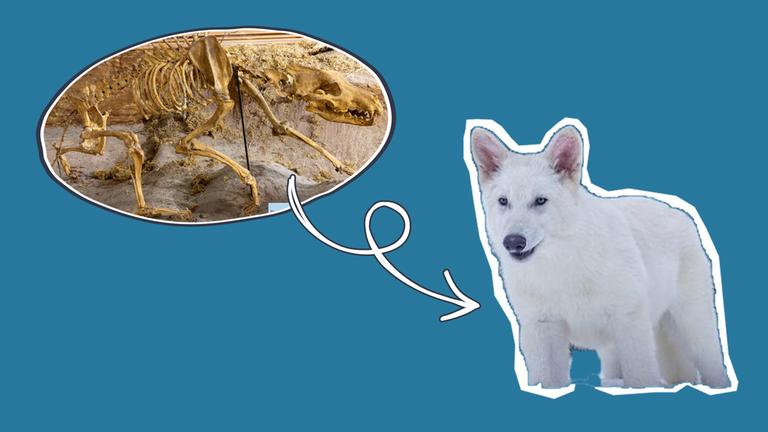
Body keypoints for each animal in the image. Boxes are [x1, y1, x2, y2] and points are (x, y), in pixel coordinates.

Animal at [470, 123, 732, 389]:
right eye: (504, 201)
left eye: (540, 200)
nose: (513, 242)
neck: (561, 269)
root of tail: (681, 212)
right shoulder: (543, 328)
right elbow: (548, 381)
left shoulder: (629, 319)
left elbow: (641, 377)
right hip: (616, 349)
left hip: (693, 328)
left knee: (714, 366)